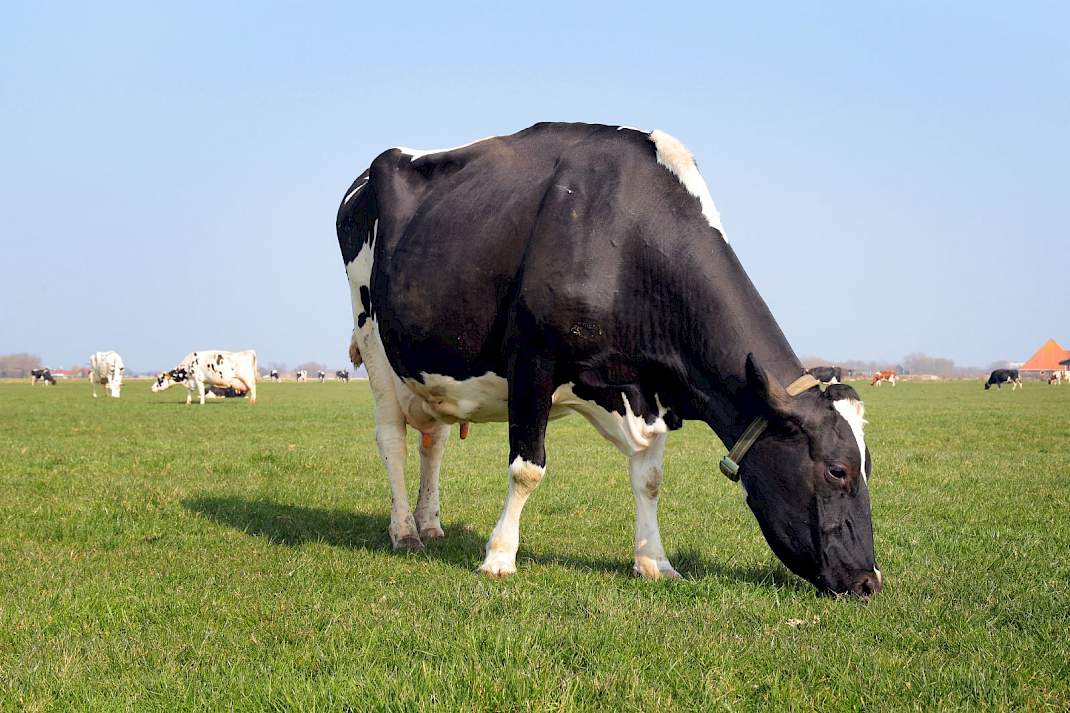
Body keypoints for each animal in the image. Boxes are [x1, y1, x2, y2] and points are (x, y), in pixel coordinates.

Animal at [335, 123, 880, 597]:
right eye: (838, 470)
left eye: (868, 464)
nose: (869, 582)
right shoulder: (532, 360)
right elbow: (527, 468)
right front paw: (499, 556)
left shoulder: (650, 389)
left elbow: (650, 479)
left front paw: (654, 561)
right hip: (375, 340)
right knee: (393, 440)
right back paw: (405, 531)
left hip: (433, 371)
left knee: (435, 442)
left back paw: (430, 524)